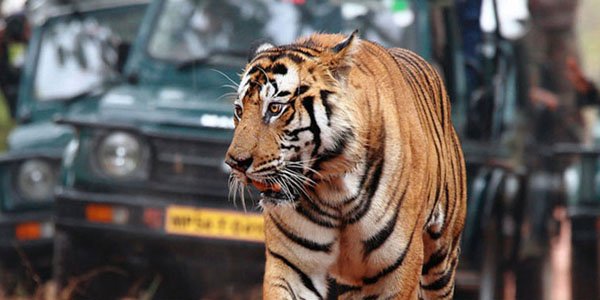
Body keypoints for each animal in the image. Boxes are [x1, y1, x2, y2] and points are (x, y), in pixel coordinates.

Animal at [227, 31, 466, 298]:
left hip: (441, 261)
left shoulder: (397, 270)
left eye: (275, 108)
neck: (334, 190)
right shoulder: (293, 265)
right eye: (239, 110)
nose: (234, 163)